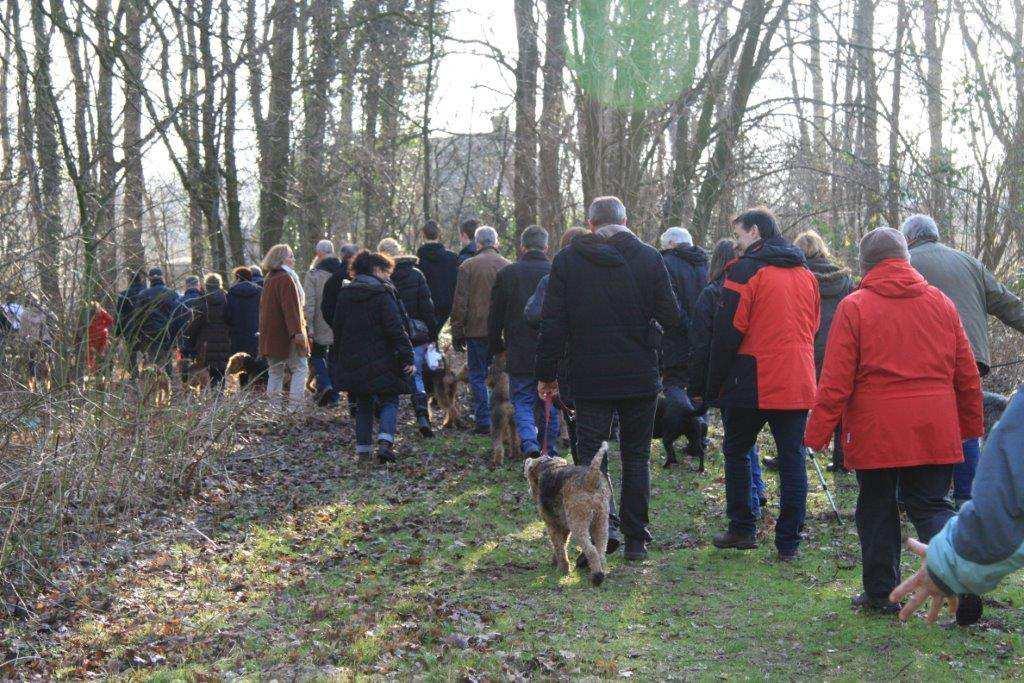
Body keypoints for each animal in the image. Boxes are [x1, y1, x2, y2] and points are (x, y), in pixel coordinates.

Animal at [524, 444, 610, 589]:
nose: (530, 492)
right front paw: (556, 561)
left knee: (592, 550)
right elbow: (562, 544)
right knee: (601, 551)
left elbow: (559, 546)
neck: (547, 467)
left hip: (578, 524)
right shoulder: (562, 525)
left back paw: (596, 577)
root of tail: (591, 478)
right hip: (601, 522)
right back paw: (601, 570)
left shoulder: (552, 524)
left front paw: (562, 568)